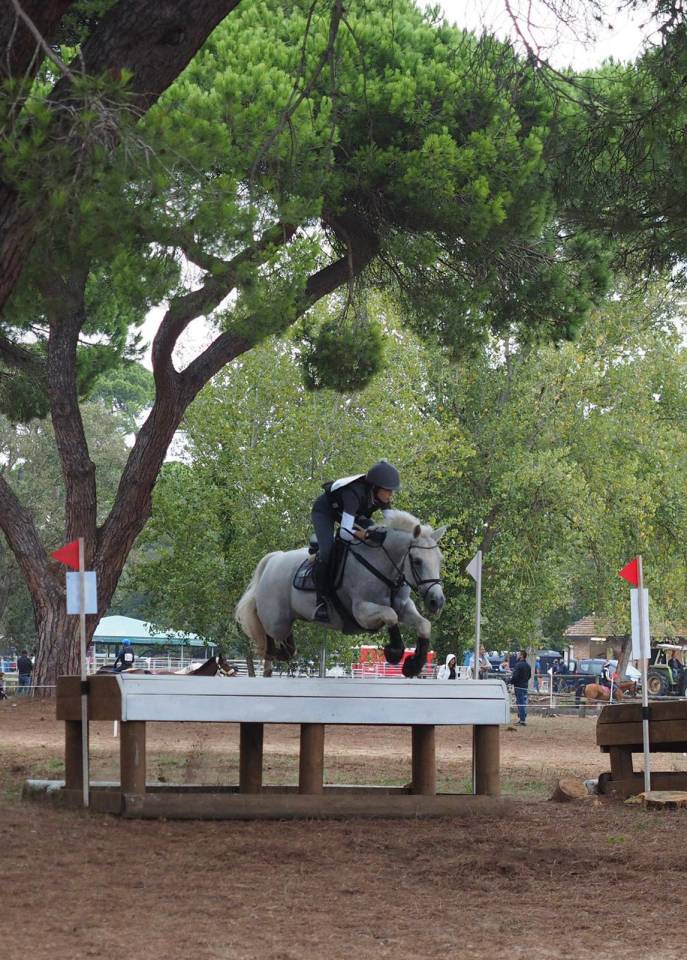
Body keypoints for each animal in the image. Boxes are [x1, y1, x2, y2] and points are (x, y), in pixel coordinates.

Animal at [235, 510, 446, 678]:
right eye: (417, 561)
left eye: (440, 560)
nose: (437, 601)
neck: (383, 567)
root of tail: (274, 559)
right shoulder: (361, 612)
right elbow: (390, 615)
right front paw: (394, 652)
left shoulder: (404, 607)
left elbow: (424, 624)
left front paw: (413, 666)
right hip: (276, 620)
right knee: (268, 635)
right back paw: (272, 651)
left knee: (286, 646)